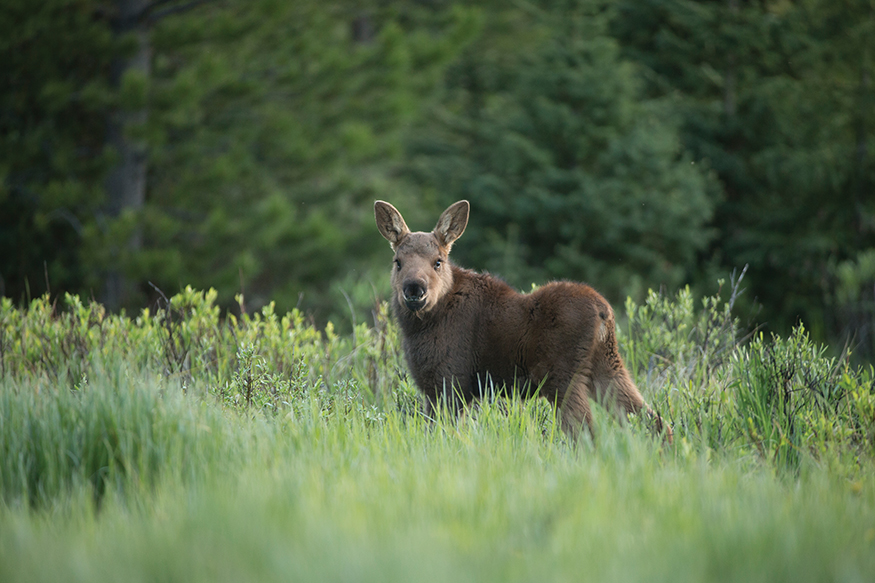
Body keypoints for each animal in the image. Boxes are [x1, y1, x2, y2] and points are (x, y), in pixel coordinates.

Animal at [374, 198, 672, 440]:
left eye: (438, 261)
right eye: (398, 261)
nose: (414, 288)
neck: (419, 328)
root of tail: (604, 312)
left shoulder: (451, 381)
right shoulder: (436, 388)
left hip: (562, 377)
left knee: (587, 434)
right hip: (607, 366)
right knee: (655, 422)